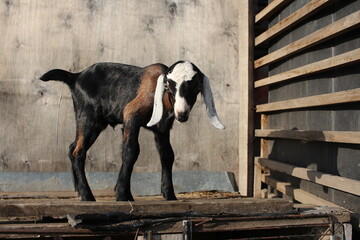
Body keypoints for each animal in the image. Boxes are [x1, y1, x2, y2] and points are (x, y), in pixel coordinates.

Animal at [40, 60, 225, 201]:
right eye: (169, 86)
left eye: (196, 87)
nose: (182, 114)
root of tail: (76, 76)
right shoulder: (131, 115)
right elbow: (130, 151)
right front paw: (122, 195)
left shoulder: (162, 128)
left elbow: (167, 155)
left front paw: (169, 194)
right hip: (87, 116)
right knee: (78, 151)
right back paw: (87, 196)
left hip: (97, 123)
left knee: (73, 148)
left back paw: (79, 191)